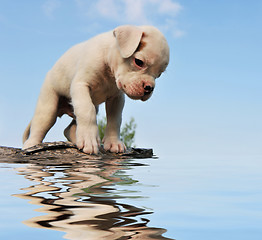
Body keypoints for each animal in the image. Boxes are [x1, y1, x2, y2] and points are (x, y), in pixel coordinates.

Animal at [22, 25, 170, 155]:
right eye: (138, 62)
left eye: (159, 74)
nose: (149, 88)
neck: (109, 72)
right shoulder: (81, 85)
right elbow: (87, 111)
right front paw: (89, 140)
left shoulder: (116, 99)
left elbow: (115, 120)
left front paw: (113, 143)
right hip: (48, 108)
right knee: (40, 126)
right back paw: (31, 145)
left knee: (69, 128)